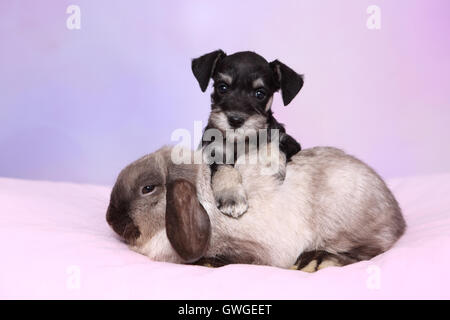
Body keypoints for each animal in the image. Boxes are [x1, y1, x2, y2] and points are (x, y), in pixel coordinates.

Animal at [107, 147, 406, 270]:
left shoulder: (254, 251)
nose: (110, 219)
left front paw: (207, 262)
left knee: (369, 252)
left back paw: (315, 261)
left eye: (148, 188)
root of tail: (399, 220)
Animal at [192, 50, 304, 219]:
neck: (241, 141)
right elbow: (225, 169)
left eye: (260, 93)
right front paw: (231, 196)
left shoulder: (288, 141)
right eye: (222, 87)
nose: (235, 120)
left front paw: (269, 165)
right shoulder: (213, 150)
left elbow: (273, 145)